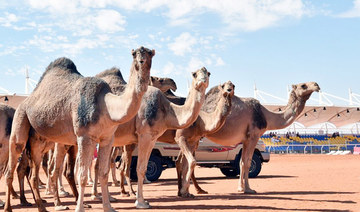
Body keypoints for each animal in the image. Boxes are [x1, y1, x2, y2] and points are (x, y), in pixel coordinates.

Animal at [4, 46, 155, 212]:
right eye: (134, 54)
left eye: (150, 54)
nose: (141, 61)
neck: (106, 106)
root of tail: (27, 99)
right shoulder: (84, 136)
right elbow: (82, 175)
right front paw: (80, 208)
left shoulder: (107, 139)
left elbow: (103, 173)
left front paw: (108, 207)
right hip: (20, 118)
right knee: (12, 164)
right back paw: (9, 207)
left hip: (39, 141)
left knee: (34, 174)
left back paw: (42, 207)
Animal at [90, 66, 211, 209]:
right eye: (194, 74)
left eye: (208, 73)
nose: (203, 80)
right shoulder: (145, 134)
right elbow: (141, 169)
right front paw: (141, 202)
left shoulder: (152, 138)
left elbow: (144, 167)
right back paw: (97, 197)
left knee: (99, 164)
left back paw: (103, 197)